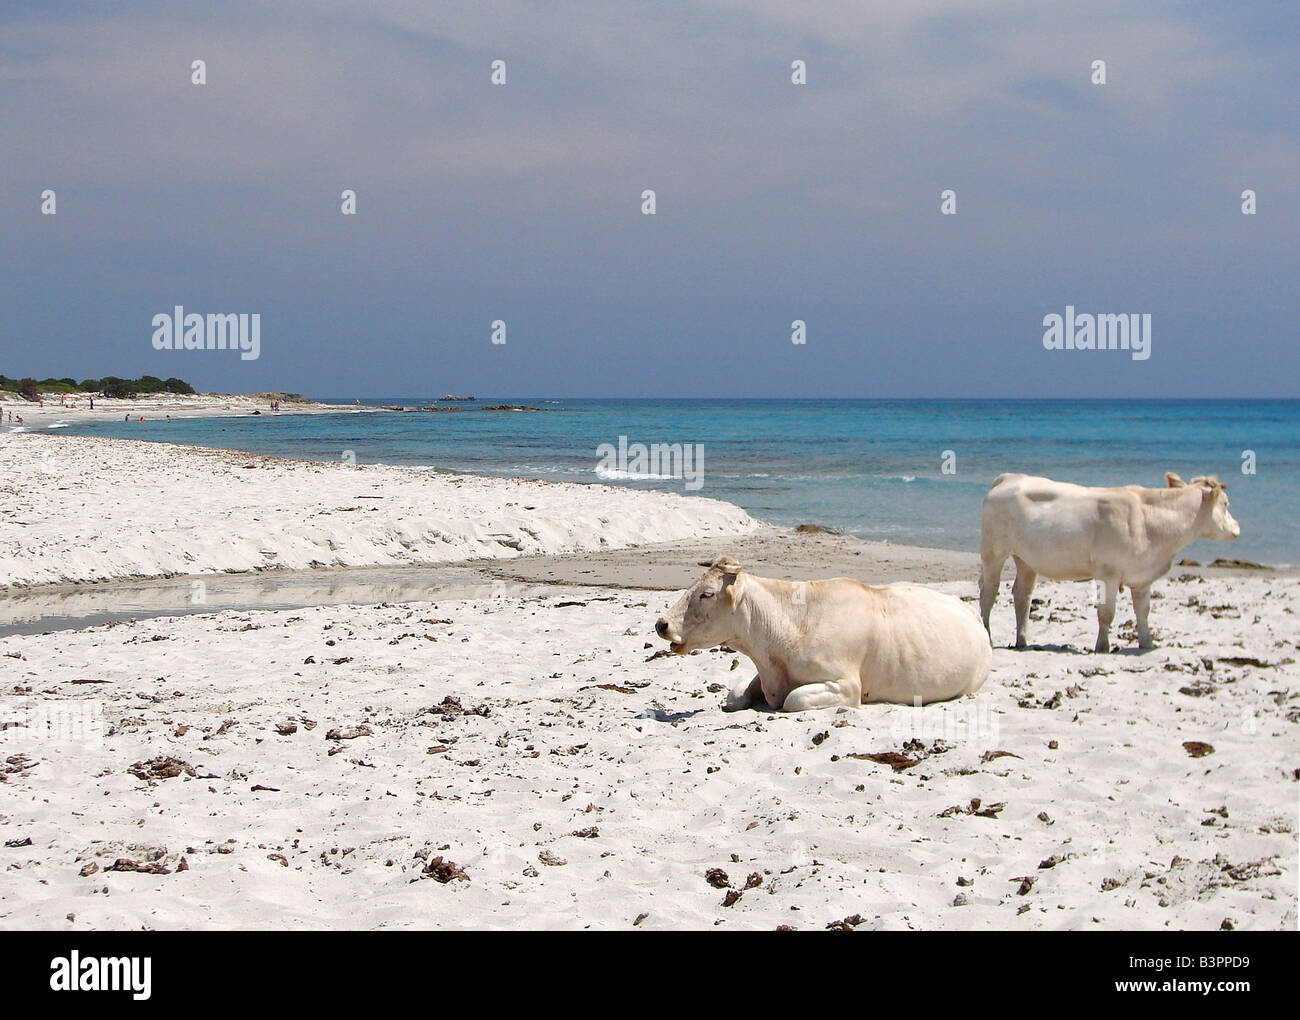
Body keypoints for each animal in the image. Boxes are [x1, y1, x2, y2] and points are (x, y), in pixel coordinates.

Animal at [982, 470, 1237, 652]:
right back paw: (988, 637)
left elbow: (1143, 611)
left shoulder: (1142, 577)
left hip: (1026, 559)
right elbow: (1107, 612)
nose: (1237, 528)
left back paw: (1022, 640)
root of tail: (1009, 478)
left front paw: (1146, 643)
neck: (1148, 519)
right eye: (1226, 504)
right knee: (988, 593)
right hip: (994, 552)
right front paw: (1102, 647)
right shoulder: (1108, 573)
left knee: (1022, 595)